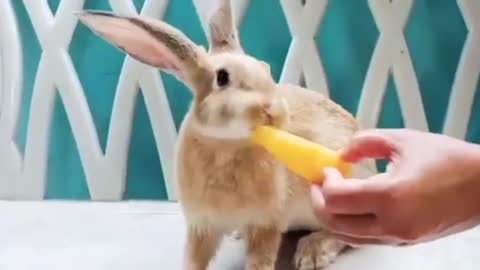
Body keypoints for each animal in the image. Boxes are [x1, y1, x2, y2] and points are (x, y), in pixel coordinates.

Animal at [77, 1, 376, 268]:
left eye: (266, 69)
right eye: (222, 78)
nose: (276, 111)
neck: (226, 146)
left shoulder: (266, 222)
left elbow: (260, 259)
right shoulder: (202, 225)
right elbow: (194, 258)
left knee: (349, 237)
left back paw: (313, 252)